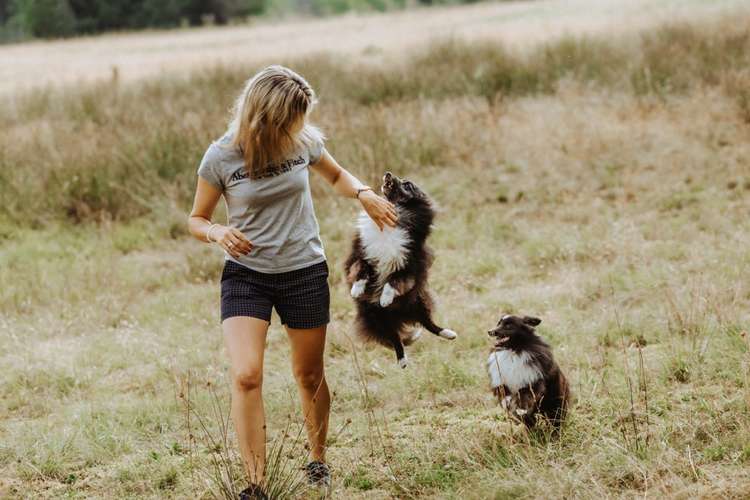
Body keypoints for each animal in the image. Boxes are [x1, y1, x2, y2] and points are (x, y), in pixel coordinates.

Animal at [342, 172, 458, 368]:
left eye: (408, 185)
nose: (388, 173)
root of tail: (401, 316)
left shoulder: (408, 265)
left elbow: (393, 281)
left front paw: (385, 299)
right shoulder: (362, 253)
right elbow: (361, 270)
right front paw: (357, 290)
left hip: (417, 302)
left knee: (428, 323)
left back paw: (448, 333)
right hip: (378, 318)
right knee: (395, 337)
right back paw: (402, 360)